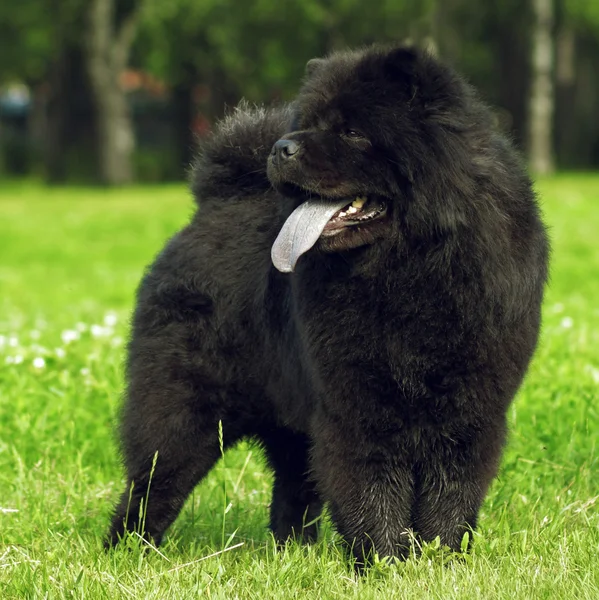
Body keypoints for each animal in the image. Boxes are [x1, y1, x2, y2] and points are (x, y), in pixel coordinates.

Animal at [106, 45, 548, 564]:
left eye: (352, 132)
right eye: (309, 124)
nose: (283, 147)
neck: (411, 266)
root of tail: (214, 204)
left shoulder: (470, 409)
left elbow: (450, 494)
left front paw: (440, 558)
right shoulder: (357, 406)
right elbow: (373, 489)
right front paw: (385, 562)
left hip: (292, 420)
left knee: (291, 492)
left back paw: (292, 552)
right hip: (182, 411)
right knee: (151, 484)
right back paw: (127, 550)